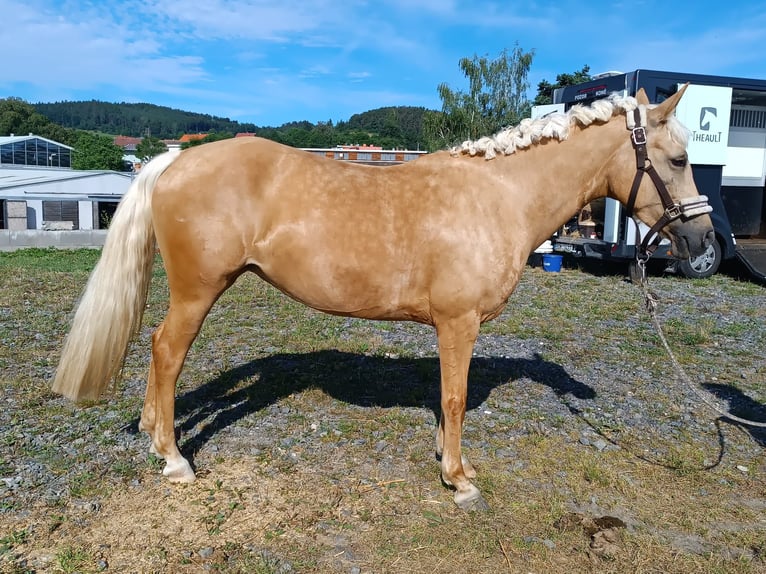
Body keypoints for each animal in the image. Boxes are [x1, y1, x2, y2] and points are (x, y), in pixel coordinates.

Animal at [52, 84, 712, 508]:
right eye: (679, 159)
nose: (705, 241)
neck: (497, 194)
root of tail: (172, 162)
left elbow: (444, 400)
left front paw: (448, 461)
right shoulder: (459, 322)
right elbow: (454, 399)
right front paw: (459, 480)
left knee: (157, 351)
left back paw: (152, 432)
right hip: (198, 292)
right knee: (167, 352)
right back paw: (174, 459)